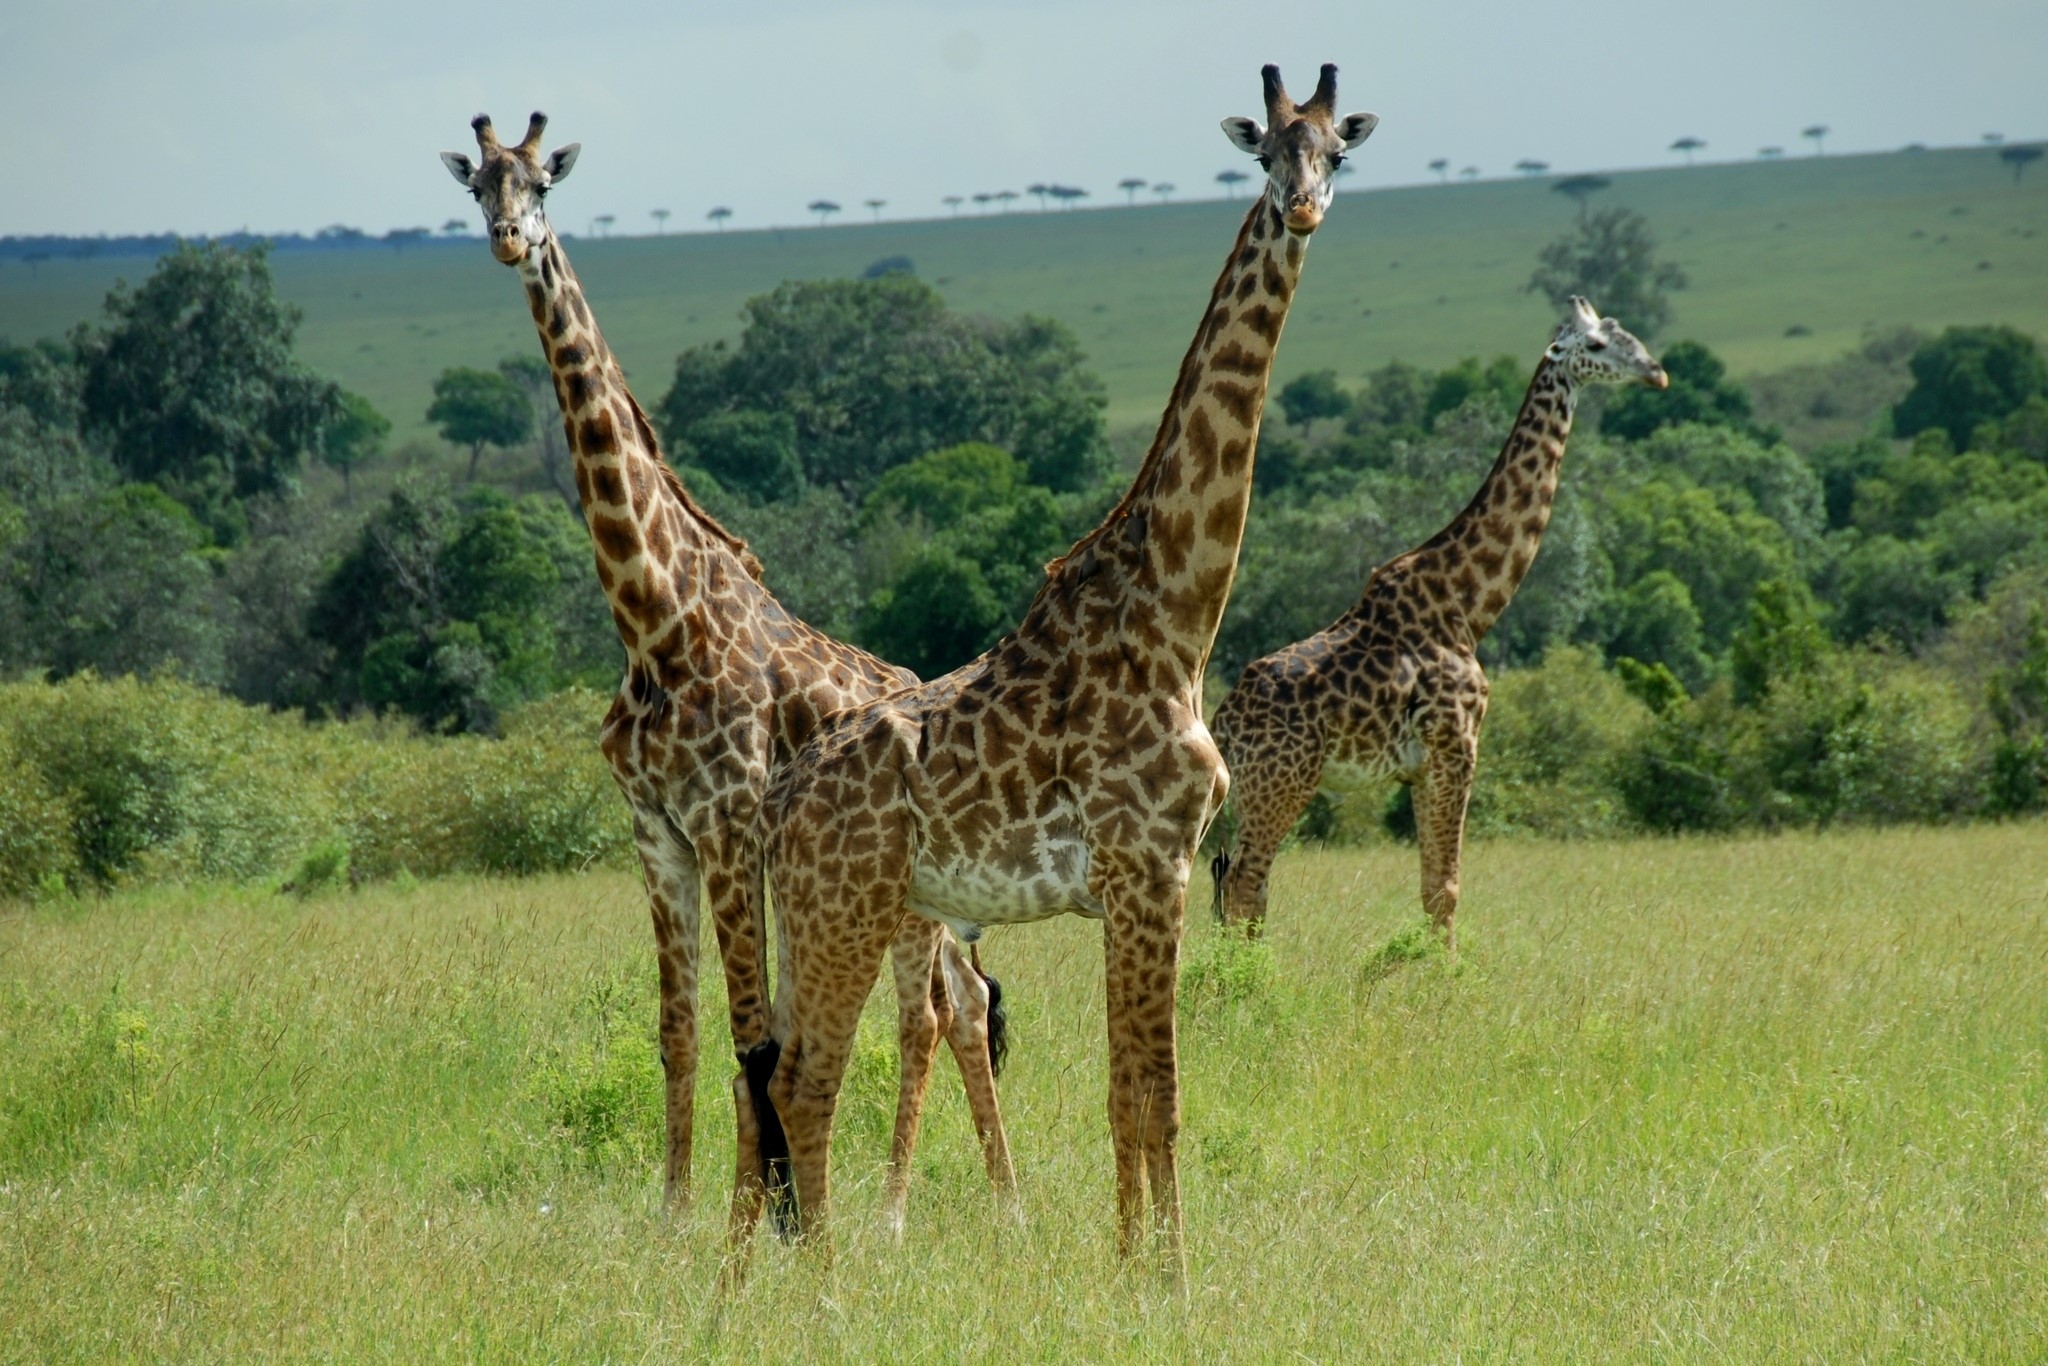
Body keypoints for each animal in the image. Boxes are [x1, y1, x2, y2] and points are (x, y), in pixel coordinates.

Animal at [438, 112, 1015, 1232]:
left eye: (541, 182)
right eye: (476, 185)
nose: (507, 238)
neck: (655, 622)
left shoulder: (727, 822)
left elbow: (751, 1032)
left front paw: (766, 1213)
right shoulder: (655, 833)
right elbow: (684, 1029)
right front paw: (676, 1214)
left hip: (907, 894)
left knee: (933, 1009)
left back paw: (902, 1212)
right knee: (959, 1001)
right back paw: (992, 1201)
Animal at [738, 66, 1376, 1275]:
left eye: (1337, 152)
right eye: (1265, 150)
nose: (1305, 208)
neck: (1177, 616)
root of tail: (780, 801)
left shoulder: (1144, 878)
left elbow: (1129, 1093)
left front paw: (1131, 1268)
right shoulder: (1150, 864)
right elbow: (1154, 1097)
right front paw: (1168, 1282)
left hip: (816, 917)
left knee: (765, 1072)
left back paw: (740, 1283)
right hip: (849, 913)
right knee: (805, 1083)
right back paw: (826, 1287)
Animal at [1210, 297, 1667, 943]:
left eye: (1630, 335)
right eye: (1598, 346)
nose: (1658, 373)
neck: (1468, 605)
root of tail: (1223, 725)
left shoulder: (1423, 767)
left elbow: (1432, 887)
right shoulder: (1456, 747)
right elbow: (1445, 890)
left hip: (1249, 793)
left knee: (1235, 886)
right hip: (1283, 782)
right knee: (1247, 884)